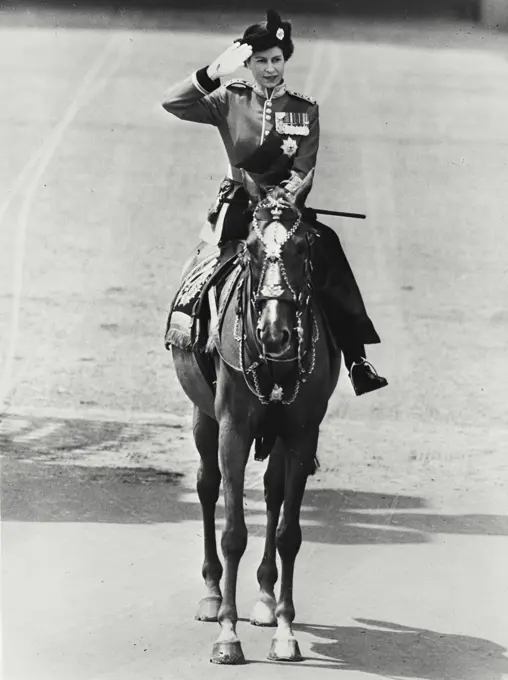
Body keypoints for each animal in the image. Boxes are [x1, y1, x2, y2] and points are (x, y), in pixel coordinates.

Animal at [171, 170, 342, 664]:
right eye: (250, 246)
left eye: (303, 245)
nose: (274, 332)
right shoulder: (233, 428)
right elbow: (233, 532)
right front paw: (228, 635)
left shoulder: (303, 433)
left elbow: (289, 532)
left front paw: (285, 630)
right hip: (203, 418)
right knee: (207, 487)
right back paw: (212, 595)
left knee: (272, 493)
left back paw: (265, 600)